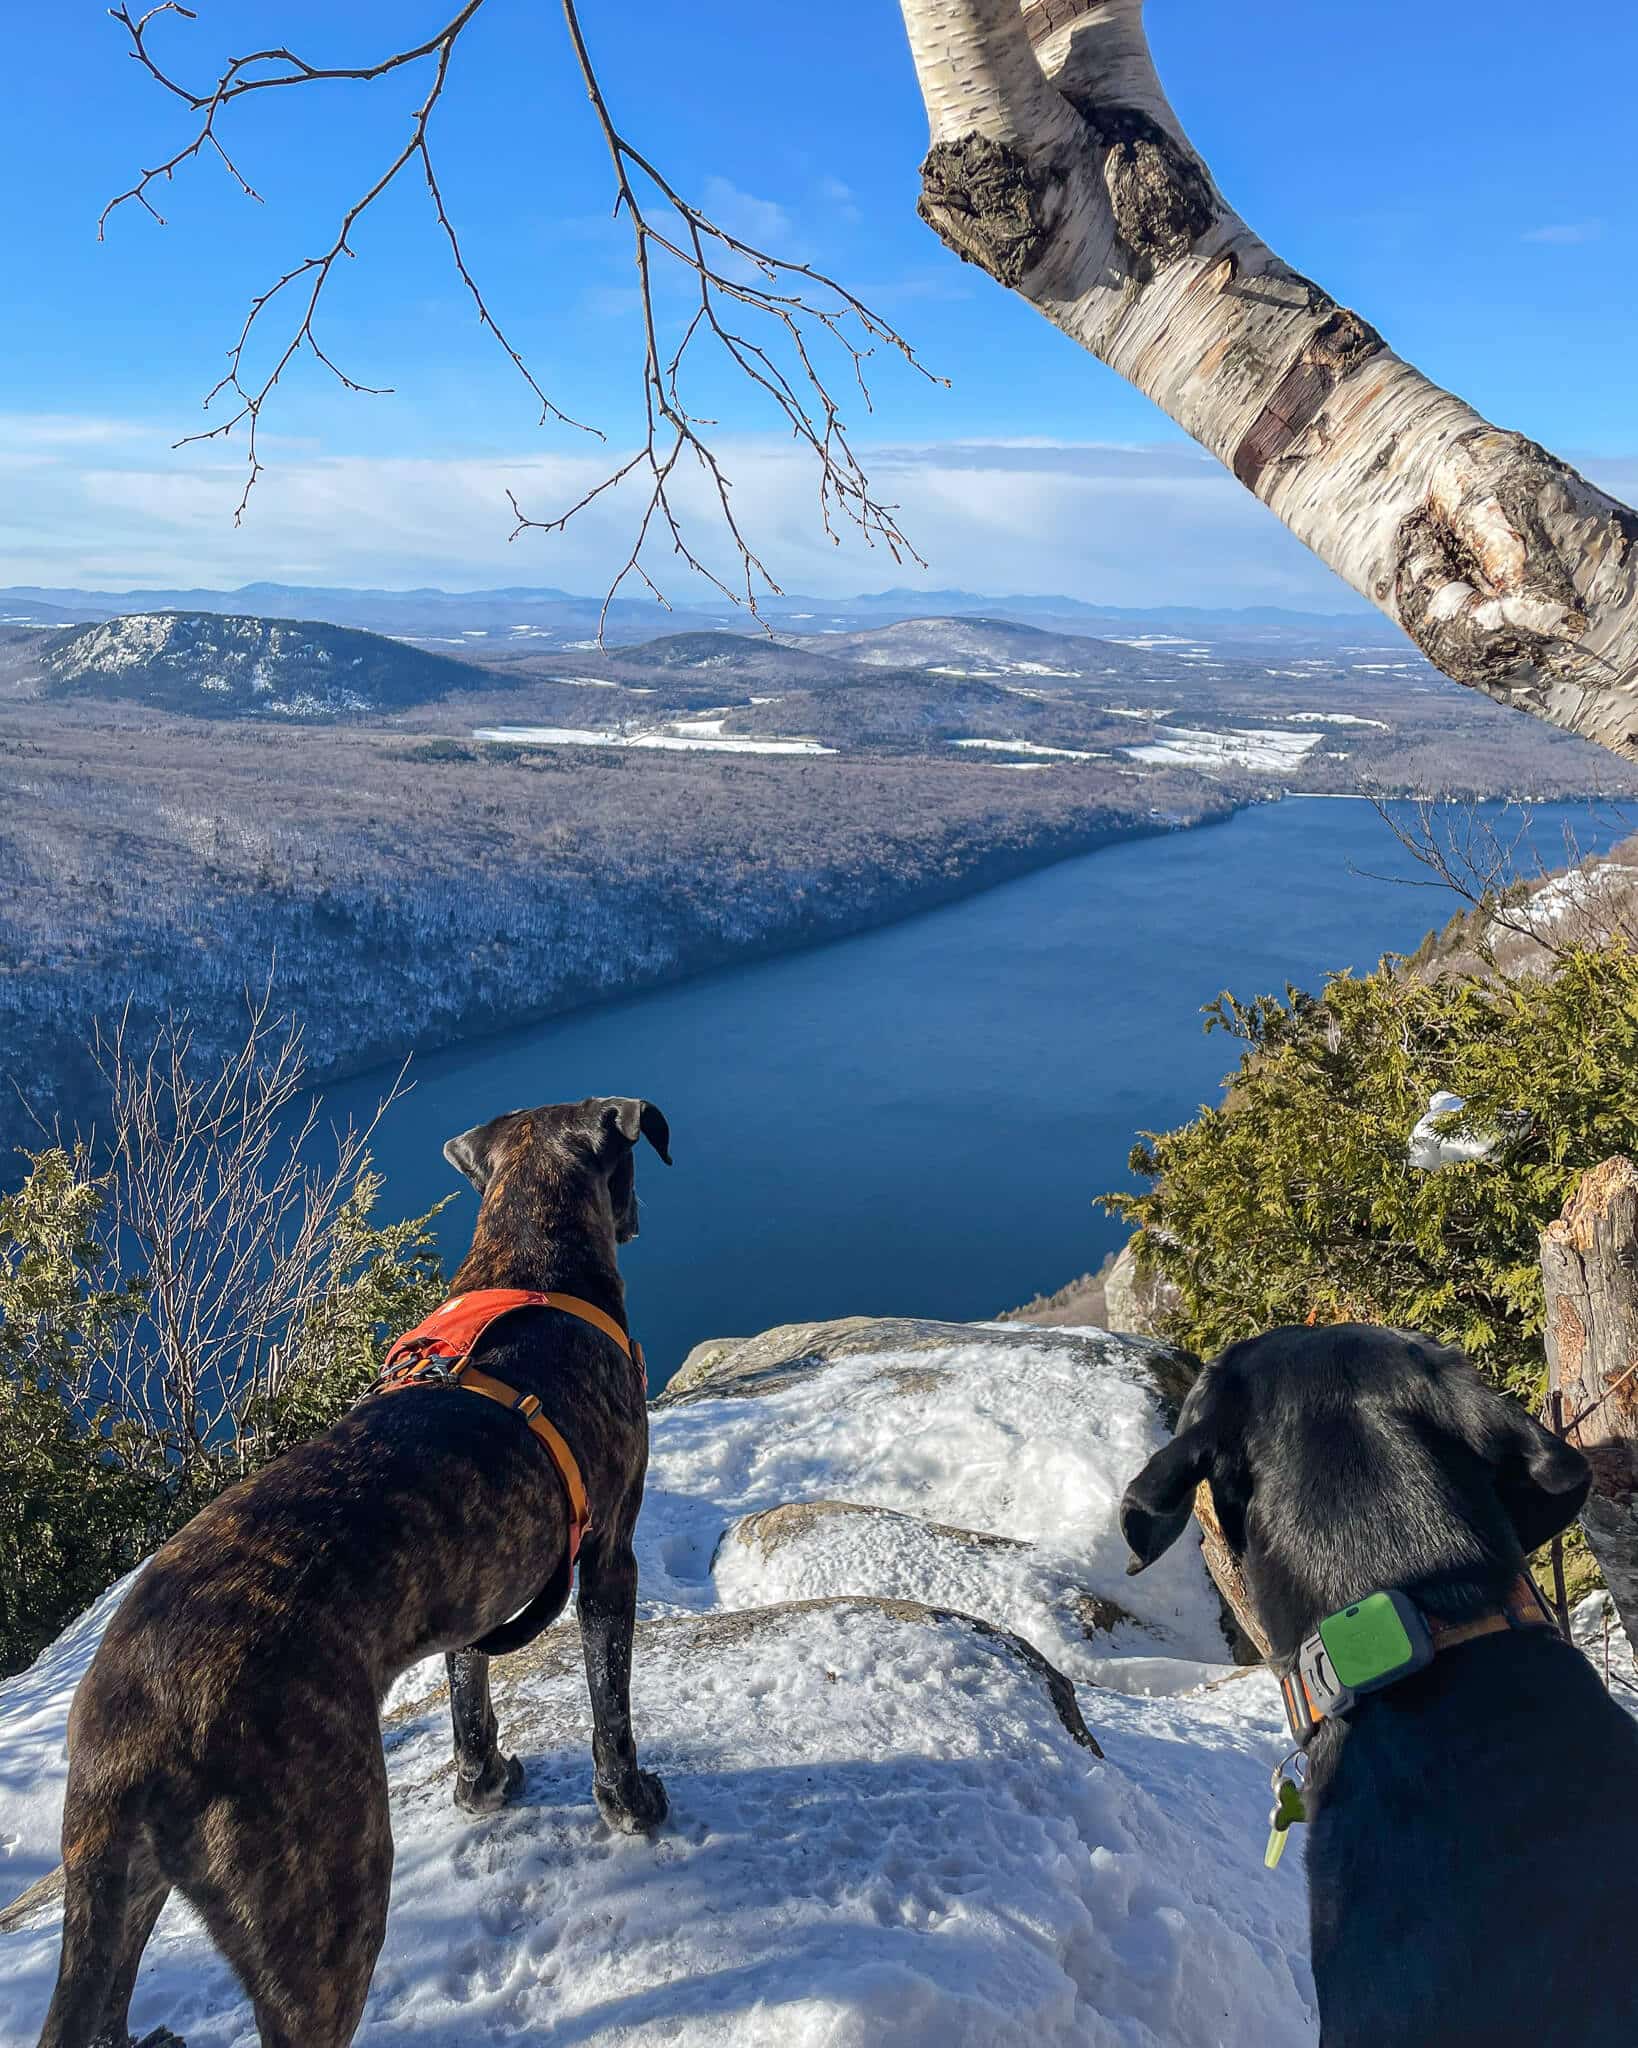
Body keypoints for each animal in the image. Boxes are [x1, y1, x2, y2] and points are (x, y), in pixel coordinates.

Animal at [35, 1097, 671, 2048]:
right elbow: (610, 1703)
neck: (528, 1260)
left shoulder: (469, 1602)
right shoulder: (608, 1557)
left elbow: (468, 1697)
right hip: (330, 1896)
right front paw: (627, 1801)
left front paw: (482, 1784)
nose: (639, 1220)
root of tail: (133, 1727)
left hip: (121, 1884)